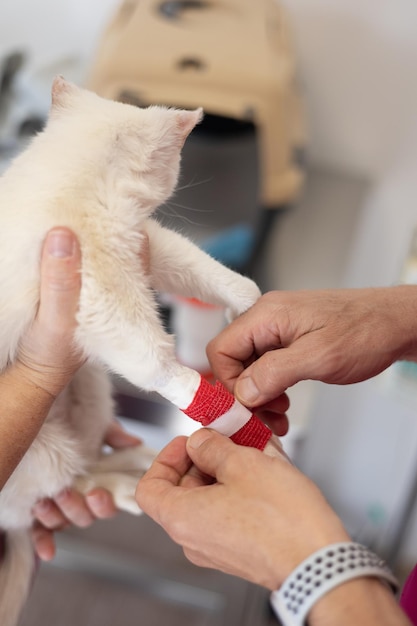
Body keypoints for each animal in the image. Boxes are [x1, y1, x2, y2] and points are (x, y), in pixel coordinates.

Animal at [0, 75, 260, 620]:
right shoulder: (98, 283)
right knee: (59, 490)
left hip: (90, 394)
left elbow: (197, 267)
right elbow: (147, 350)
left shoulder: (144, 241)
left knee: (88, 461)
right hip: (43, 453)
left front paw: (247, 302)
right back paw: (129, 489)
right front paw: (199, 393)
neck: (77, 176)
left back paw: (138, 458)